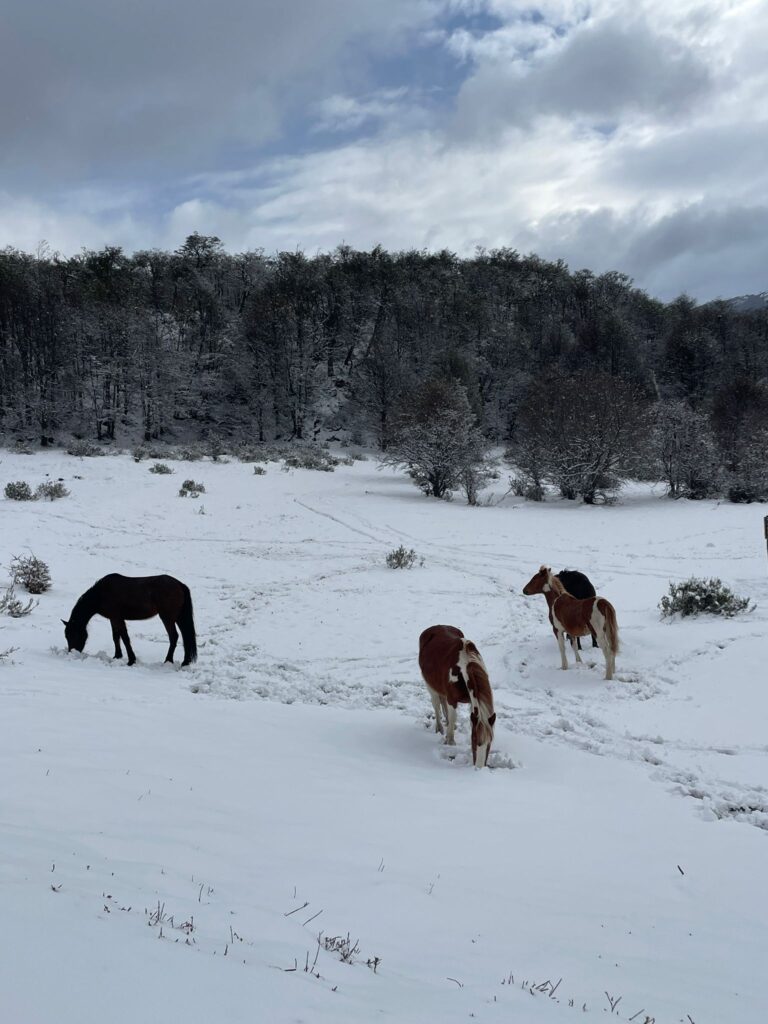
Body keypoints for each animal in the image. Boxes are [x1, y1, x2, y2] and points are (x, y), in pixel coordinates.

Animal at [63, 573, 198, 667]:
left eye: (72, 634)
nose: (72, 652)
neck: (101, 594)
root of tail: (180, 584)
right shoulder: (113, 619)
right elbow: (116, 637)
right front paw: (117, 656)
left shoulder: (117, 618)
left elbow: (125, 638)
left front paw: (131, 660)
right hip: (179, 618)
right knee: (185, 636)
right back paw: (185, 662)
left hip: (167, 618)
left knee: (174, 636)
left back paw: (168, 661)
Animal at [417, 622, 495, 770]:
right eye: (474, 740)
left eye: (490, 743)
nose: (479, 768)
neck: (463, 668)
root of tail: (434, 627)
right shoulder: (452, 700)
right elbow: (453, 716)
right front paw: (450, 741)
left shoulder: (472, 703)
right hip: (430, 686)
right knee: (436, 705)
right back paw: (440, 728)